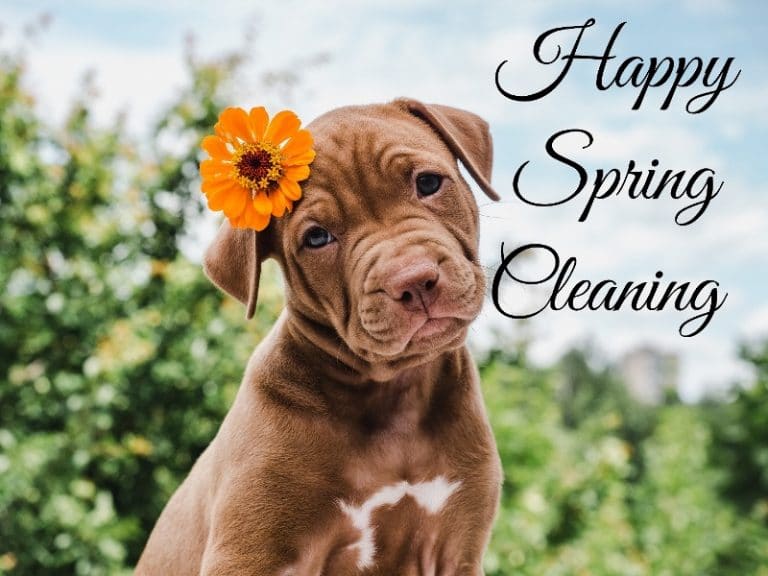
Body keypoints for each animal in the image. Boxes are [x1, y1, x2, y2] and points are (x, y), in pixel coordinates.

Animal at [138, 99, 504, 576]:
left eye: (428, 183)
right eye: (317, 237)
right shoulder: (250, 554)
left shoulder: (456, 549)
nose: (413, 280)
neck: (392, 393)